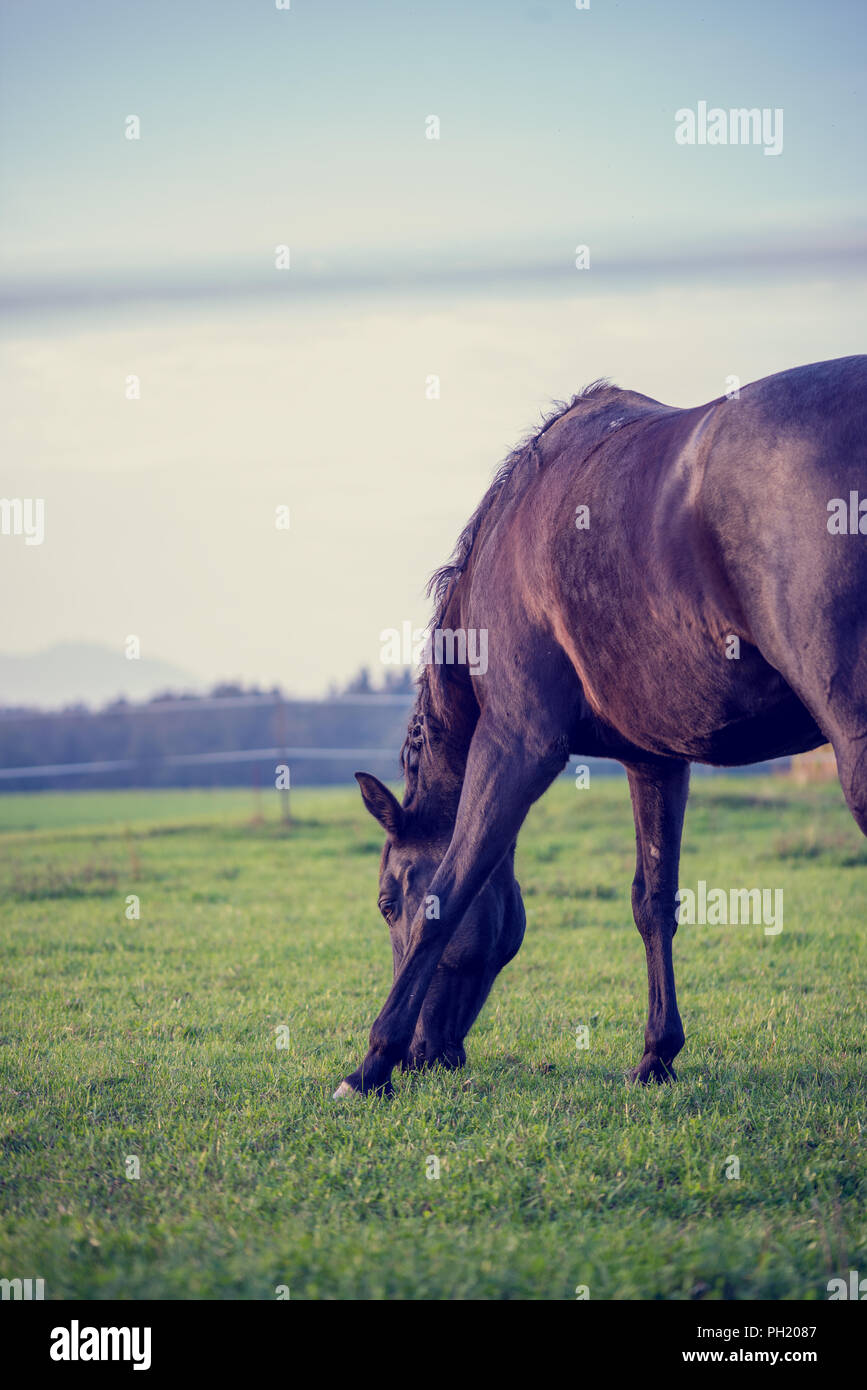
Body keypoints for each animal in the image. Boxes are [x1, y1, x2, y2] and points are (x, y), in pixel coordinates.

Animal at [335, 354, 867, 1098]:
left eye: (388, 902)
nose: (423, 1055)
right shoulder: (656, 759)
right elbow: (654, 902)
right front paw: (656, 1055)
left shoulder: (517, 744)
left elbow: (451, 888)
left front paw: (370, 1064)